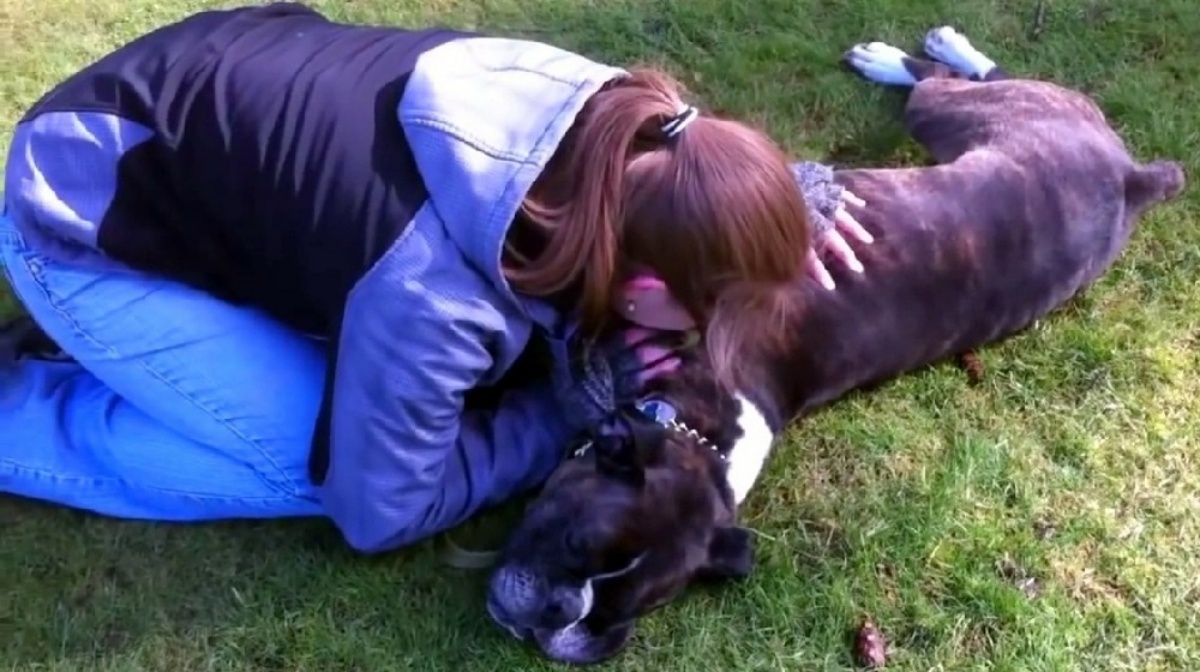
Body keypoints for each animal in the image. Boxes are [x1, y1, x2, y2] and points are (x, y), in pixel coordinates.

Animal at [482, 27, 1185, 667]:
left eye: (624, 607)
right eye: (574, 544)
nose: (560, 616)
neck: (708, 419)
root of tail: (1134, 177)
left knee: (947, 79)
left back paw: (912, 52)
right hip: (962, 118)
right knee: (951, 80)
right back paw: (923, 50)